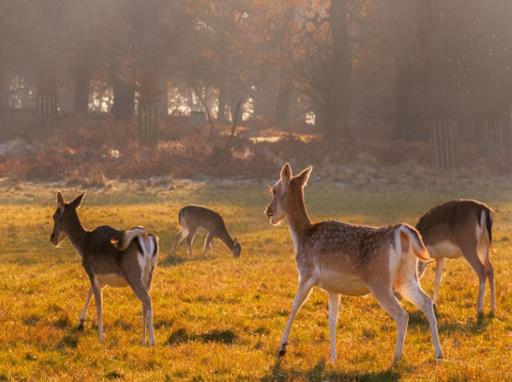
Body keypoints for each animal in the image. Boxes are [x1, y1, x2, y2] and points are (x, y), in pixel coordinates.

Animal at [50, 192, 159, 344]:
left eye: (55, 216)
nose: (52, 238)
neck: (84, 244)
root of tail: (144, 237)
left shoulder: (91, 271)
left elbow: (99, 304)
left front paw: (100, 337)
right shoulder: (101, 278)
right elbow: (89, 292)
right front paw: (80, 324)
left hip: (134, 276)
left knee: (147, 300)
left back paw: (152, 341)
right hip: (149, 275)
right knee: (144, 303)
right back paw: (142, 339)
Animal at [266, 163, 442, 362]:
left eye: (274, 189)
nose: (268, 211)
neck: (303, 236)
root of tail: (402, 232)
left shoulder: (306, 273)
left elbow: (294, 306)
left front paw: (281, 348)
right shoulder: (333, 288)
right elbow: (332, 319)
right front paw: (333, 358)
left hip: (380, 282)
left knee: (402, 315)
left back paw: (396, 357)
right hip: (406, 277)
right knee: (426, 301)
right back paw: (438, 353)